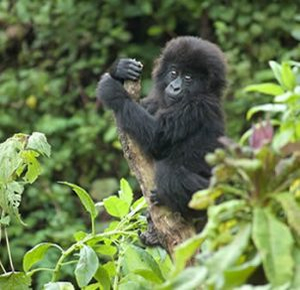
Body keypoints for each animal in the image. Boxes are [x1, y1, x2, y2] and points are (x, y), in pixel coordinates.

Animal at [97, 36, 226, 220]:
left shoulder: (198, 106)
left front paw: (113, 92)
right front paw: (120, 69)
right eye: (174, 73)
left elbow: (156, 137)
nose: (174, 87)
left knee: (168, 171)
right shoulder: (155, 101)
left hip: (213, 195)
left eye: (188, 77)